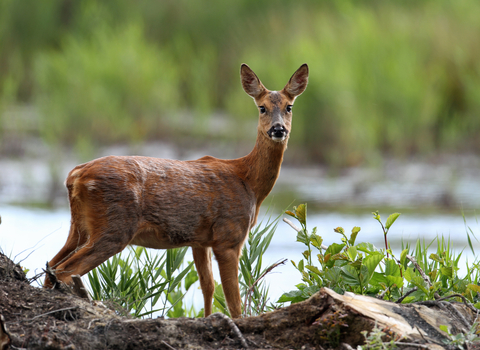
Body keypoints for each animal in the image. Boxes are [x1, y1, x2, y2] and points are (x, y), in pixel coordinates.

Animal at [44, 62, 308, 318]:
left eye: (289, 107)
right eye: (262, 108)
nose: (278, 129)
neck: (249, 181)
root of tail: (76, 175)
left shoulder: (200, 240)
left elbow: (208, 287)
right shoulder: (229, 236)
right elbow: (234, 303)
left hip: (79, 227)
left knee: (51, 266)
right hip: (114, 227)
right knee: (64, 270)